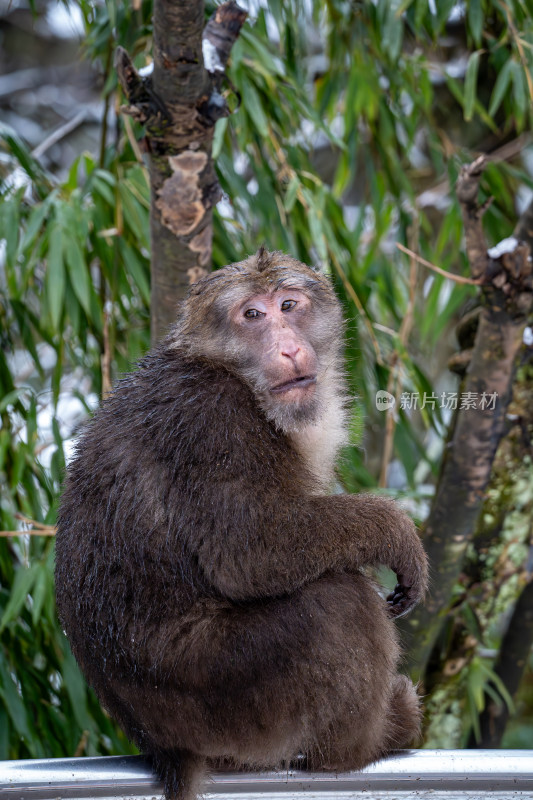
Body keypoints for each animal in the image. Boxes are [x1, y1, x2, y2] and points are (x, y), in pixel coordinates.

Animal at [54, 247, 428, 800]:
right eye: (252, 315)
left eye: (289, 305)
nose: (289, 348)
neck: (233, 374)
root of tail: (166, 748)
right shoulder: (212, 421)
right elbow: (249, 552)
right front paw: (394, 531)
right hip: (231, 700)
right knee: (338, 604)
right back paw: (367, 742)